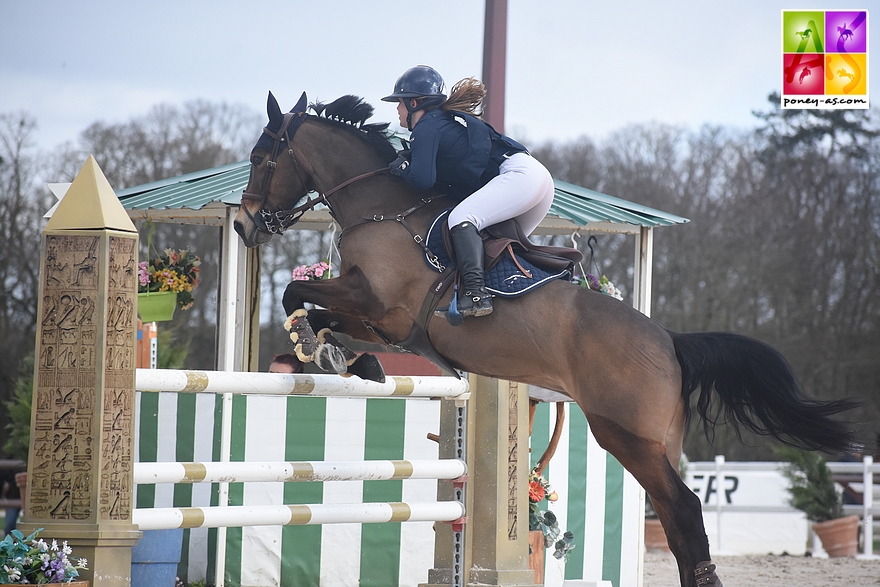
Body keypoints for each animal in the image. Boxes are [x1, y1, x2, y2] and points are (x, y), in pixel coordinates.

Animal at [232, 92, 860, 587]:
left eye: (262, 159)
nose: (243, 224)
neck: (382, 207)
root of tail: (669, 342)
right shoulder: (387, 322)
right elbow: (325, 316)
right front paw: (350, 360)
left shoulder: (381, 305)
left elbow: (294, 292)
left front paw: (319, 345)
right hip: (658, 441)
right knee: (677, 517)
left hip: (624, 434)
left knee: (682, 509)